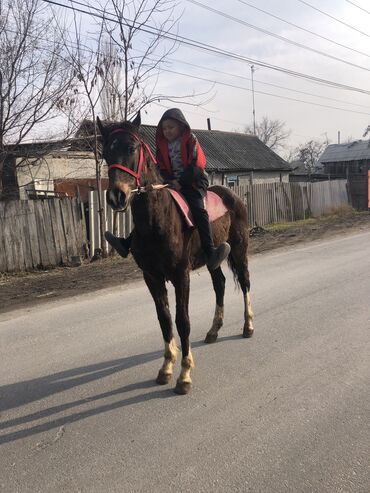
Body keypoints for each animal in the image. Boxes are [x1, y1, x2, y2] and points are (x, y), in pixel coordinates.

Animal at [97, 113, 254, 394]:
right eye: (106, 153)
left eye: (132, 148)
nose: (117, 196)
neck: (156, 221)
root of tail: (231, 195)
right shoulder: (152, 277)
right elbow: (164, 319)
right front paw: (167, 367)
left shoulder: (182, 275)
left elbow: (182, 321)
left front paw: (185, 374)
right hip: (214, 260)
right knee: (220, 284)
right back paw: (214, 330)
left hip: (239, 248)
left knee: (245, 282)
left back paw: (247, 326)